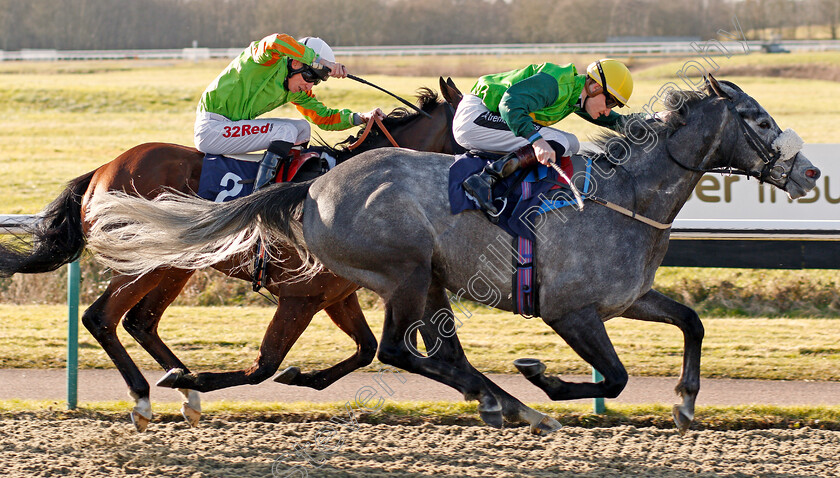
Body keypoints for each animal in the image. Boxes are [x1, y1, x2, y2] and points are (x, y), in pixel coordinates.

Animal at [0, 84, 460, 432]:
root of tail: (101, 171)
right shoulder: (300, 295)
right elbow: (264, 366)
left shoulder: (333, 294)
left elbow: (365, 349)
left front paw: (303, 376)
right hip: (145, 262)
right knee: (101, 317)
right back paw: (145, 397)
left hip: (174, 266)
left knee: (140, 322)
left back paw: (185, 390)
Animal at [85, 76, 820, 436]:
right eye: (757, 119)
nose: (811, 172)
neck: (621, 198)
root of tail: (314, 184)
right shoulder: (570, 311)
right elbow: (611, 378)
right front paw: (539, 377)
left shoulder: (625, 298)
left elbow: (692, 322)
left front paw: (688, 403)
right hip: (403, 272)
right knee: (398, 350)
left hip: (417, 278)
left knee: (418, 352)